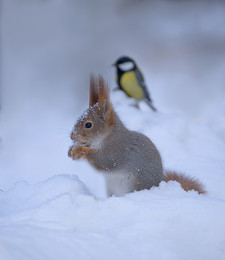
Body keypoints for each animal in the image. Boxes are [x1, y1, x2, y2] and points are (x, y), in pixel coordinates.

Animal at [67, 74, 207, 196]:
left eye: (88, 124)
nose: (72, 136)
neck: (107, 137)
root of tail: (159, 184)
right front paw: (71, 149)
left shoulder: (117, 151)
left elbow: (103, 162)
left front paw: (79, 150)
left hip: (135, 184)